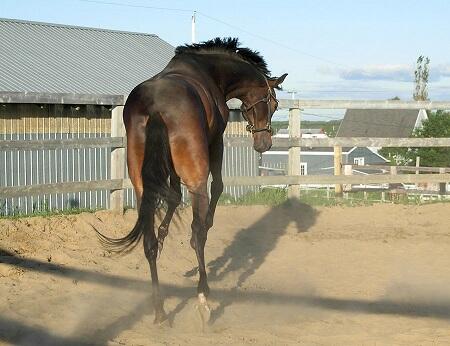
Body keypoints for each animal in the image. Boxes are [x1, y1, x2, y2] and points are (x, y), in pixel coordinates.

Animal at [98, 38, 288, 328]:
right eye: (273, 104)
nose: (264, 143)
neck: (210, 71)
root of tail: (154, 106)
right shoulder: (215, 142)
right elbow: (217, 188)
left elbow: (174, 196)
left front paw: (164, 235)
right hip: (197, 173)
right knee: (198, 230)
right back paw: (203, 298)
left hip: (142, 183)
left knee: (148, 239)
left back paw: (160, 310)